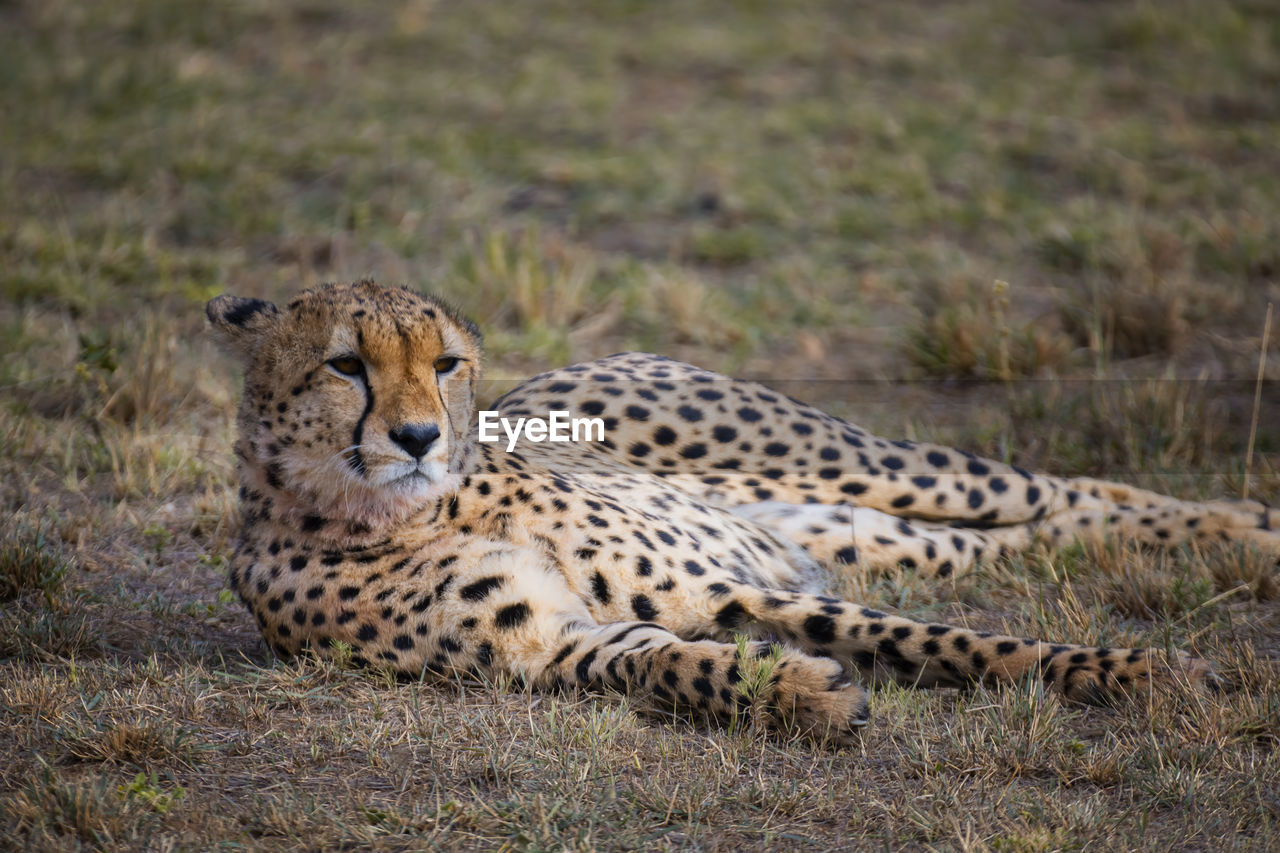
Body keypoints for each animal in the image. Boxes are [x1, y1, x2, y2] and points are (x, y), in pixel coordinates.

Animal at [209, 281, 1280, 742]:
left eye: (444, 362)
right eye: (346, 365)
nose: (419, 436)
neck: (413, 508)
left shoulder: (729, 586)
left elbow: (950, 640)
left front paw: (1139, 674)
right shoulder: (548, 645)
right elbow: (665, 660)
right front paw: (803, 692)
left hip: (870, 466)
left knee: (1062, 488)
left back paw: (1249, 526)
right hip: (865, 529)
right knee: (1028, 532)